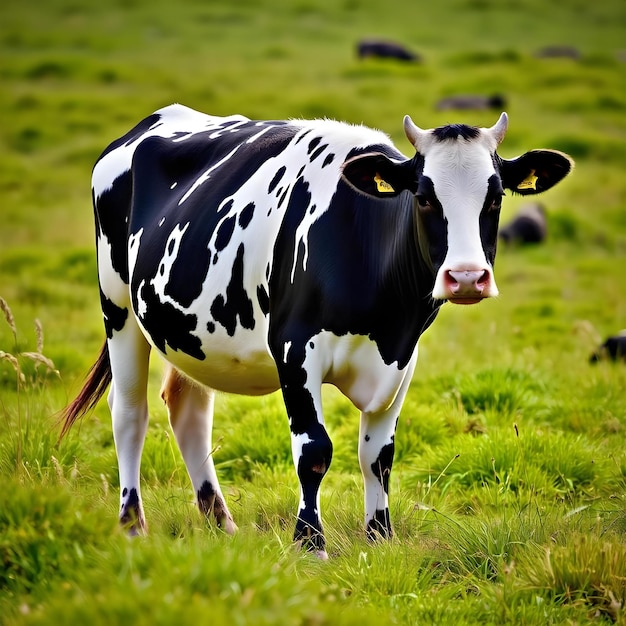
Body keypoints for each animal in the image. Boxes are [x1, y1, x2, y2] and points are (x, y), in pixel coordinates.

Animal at [59, 105, 572, 560]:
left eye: (496, 197)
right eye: (424, 196)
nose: (466, 277)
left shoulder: (402, 358)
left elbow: (379, 455)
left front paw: (379, 537)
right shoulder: (293, 347)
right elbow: (315, 450)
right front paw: (309, 543)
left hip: (191, 335)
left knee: (189, 412)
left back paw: (221, 522)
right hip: (119, 308)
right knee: (130, 413)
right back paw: (132, 524)